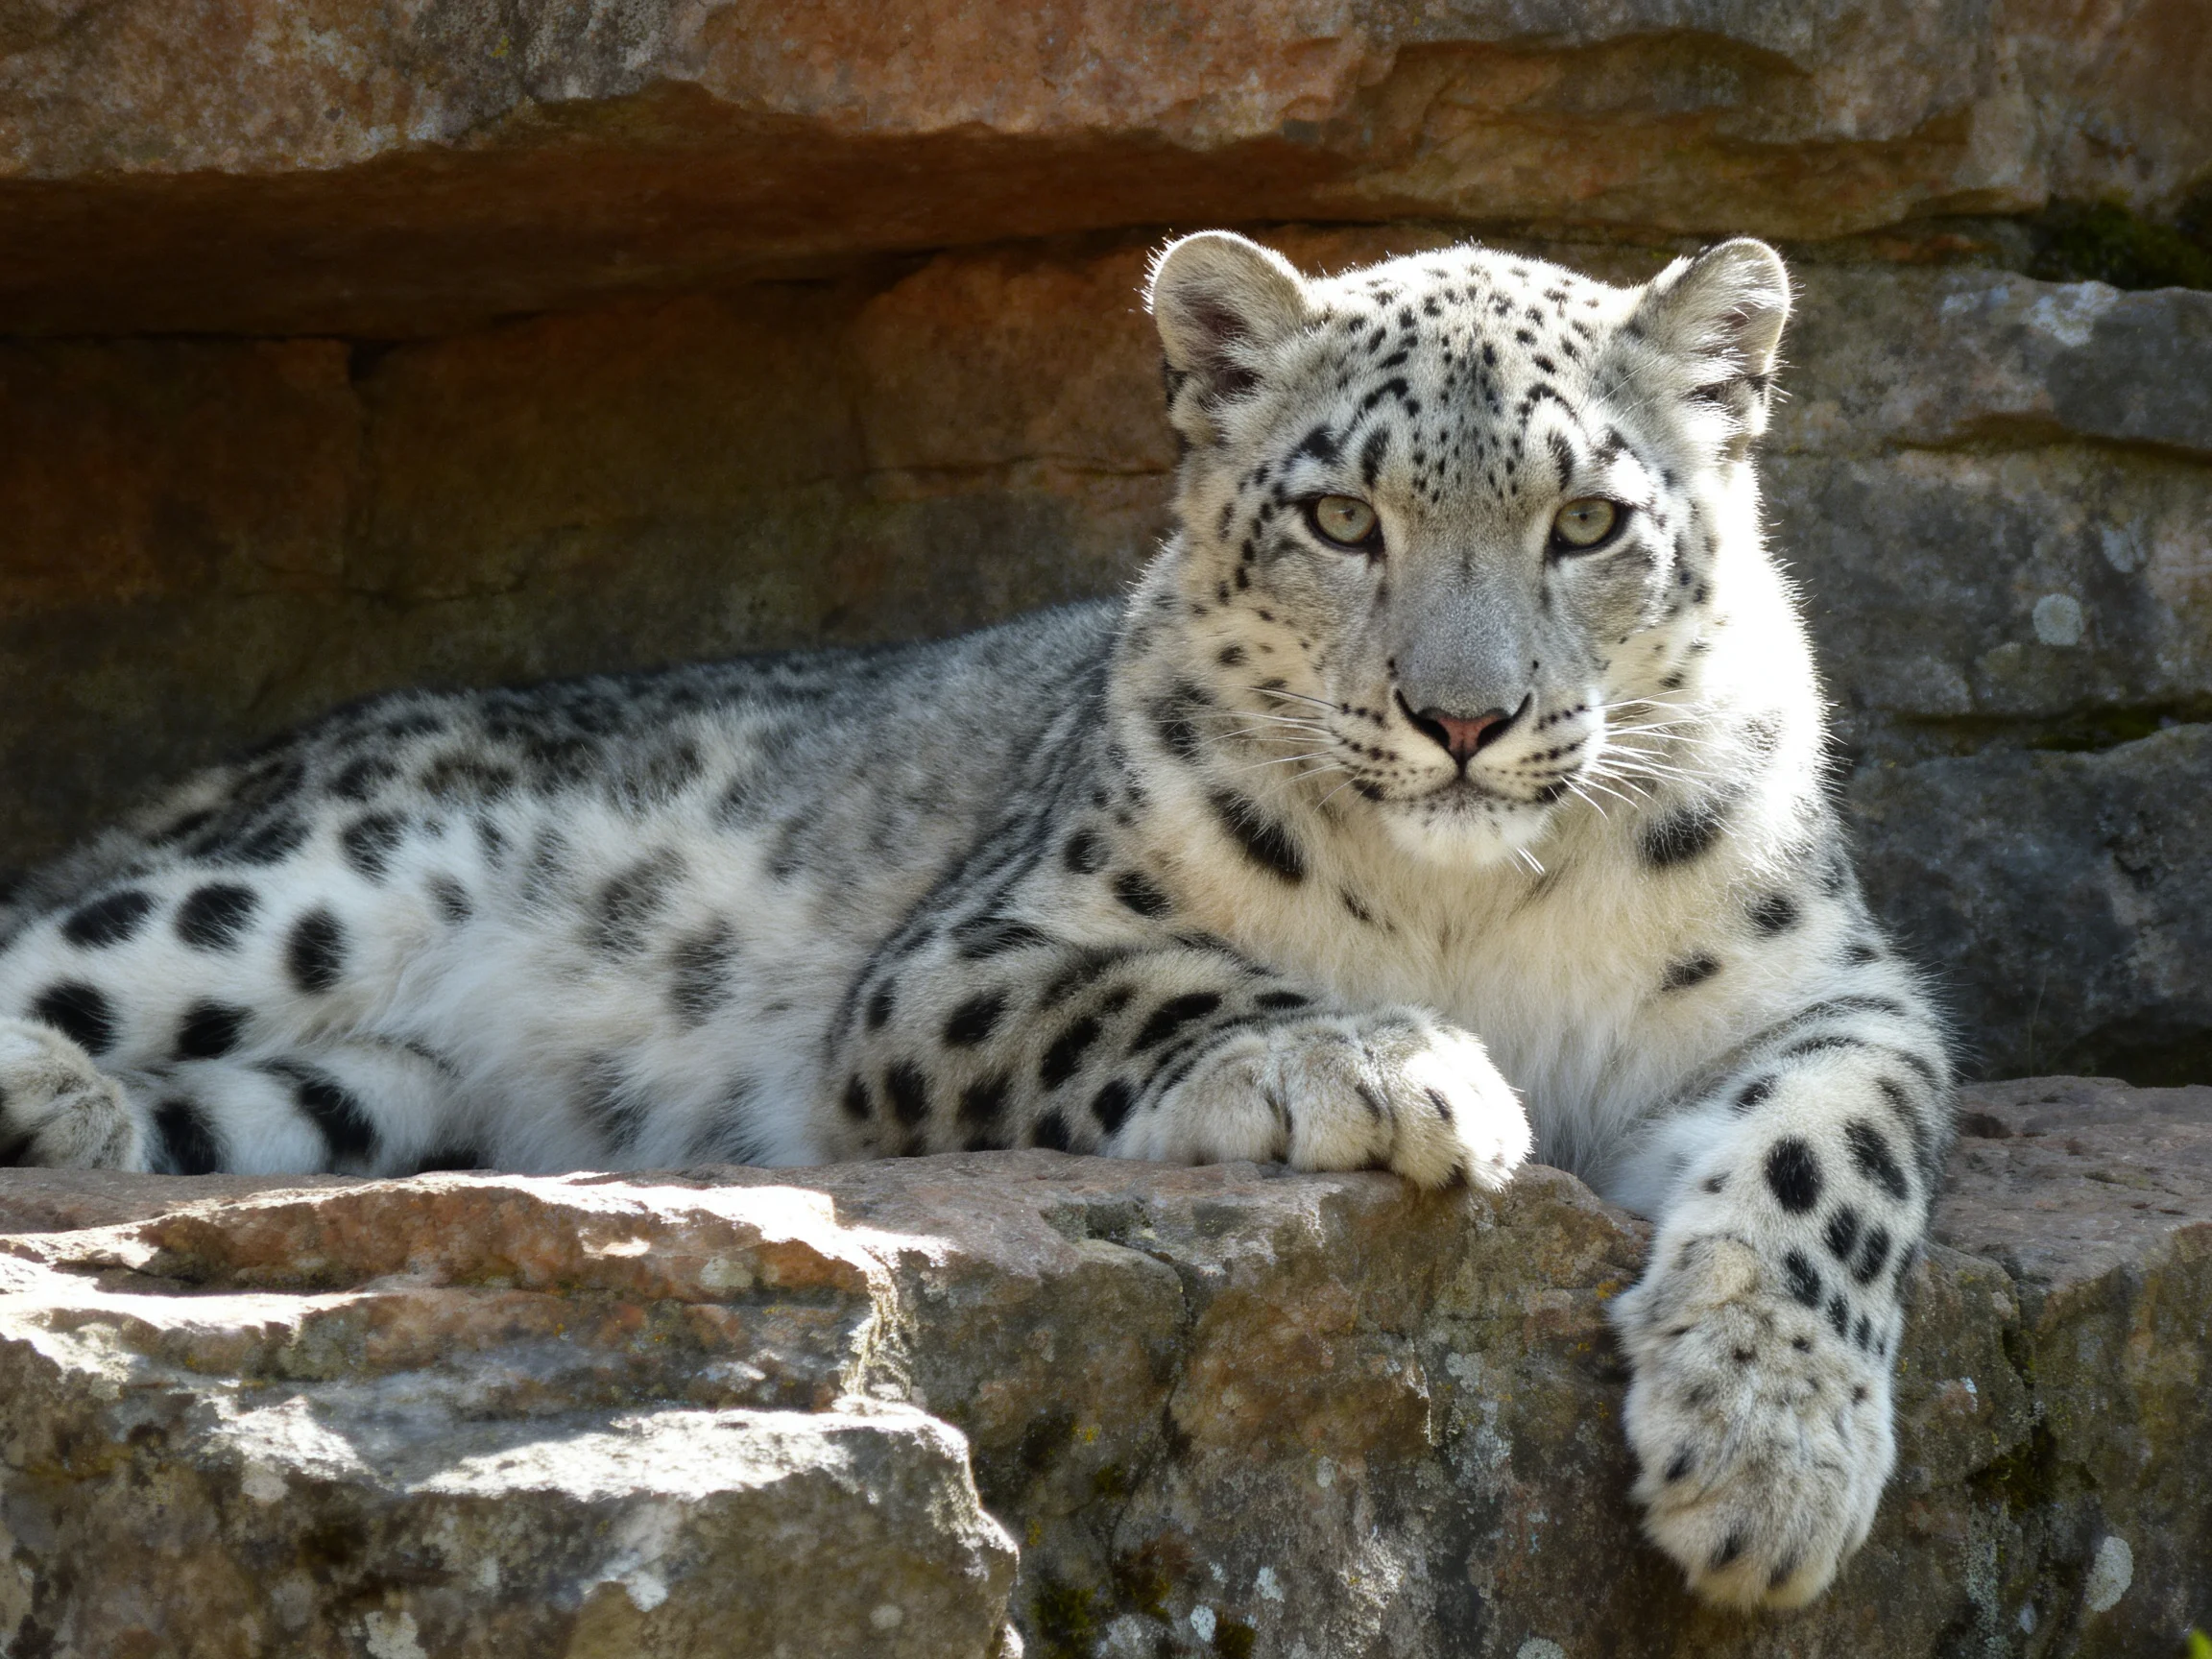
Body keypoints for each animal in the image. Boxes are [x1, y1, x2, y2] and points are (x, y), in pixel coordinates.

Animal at [0, 230, 1951, 1612]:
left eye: (1589, 519)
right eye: (1341, 515)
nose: (1461, 718)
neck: (1471, 911)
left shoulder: (1829, 991)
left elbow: (1831, 1157)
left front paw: (1766, 1458)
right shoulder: (971, 953)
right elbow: (1175, 985)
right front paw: (1386, 1069)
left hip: (370, 1083)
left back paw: (75, 1116)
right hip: (308, 888)